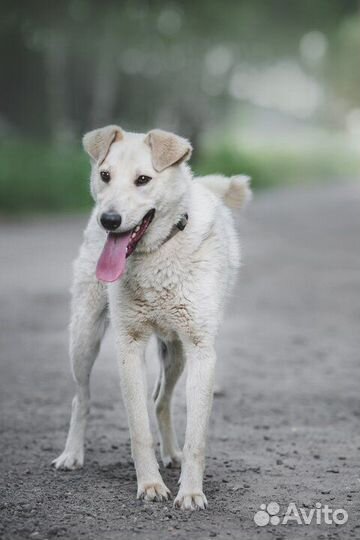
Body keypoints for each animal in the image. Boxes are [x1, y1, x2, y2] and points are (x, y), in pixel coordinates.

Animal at [53, 126, 250, 510]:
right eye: (105, 175)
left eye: (143, 179)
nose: (109, 220)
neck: (159, 251)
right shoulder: (129, 345)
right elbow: (138, 429)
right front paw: (150, 485)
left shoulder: (201, 350)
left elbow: (196, 437)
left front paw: (191, 492)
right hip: (84, 335)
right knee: (81, 398)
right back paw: (71, 454)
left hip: (176, 353)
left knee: (161, 400)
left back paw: (171, 453)